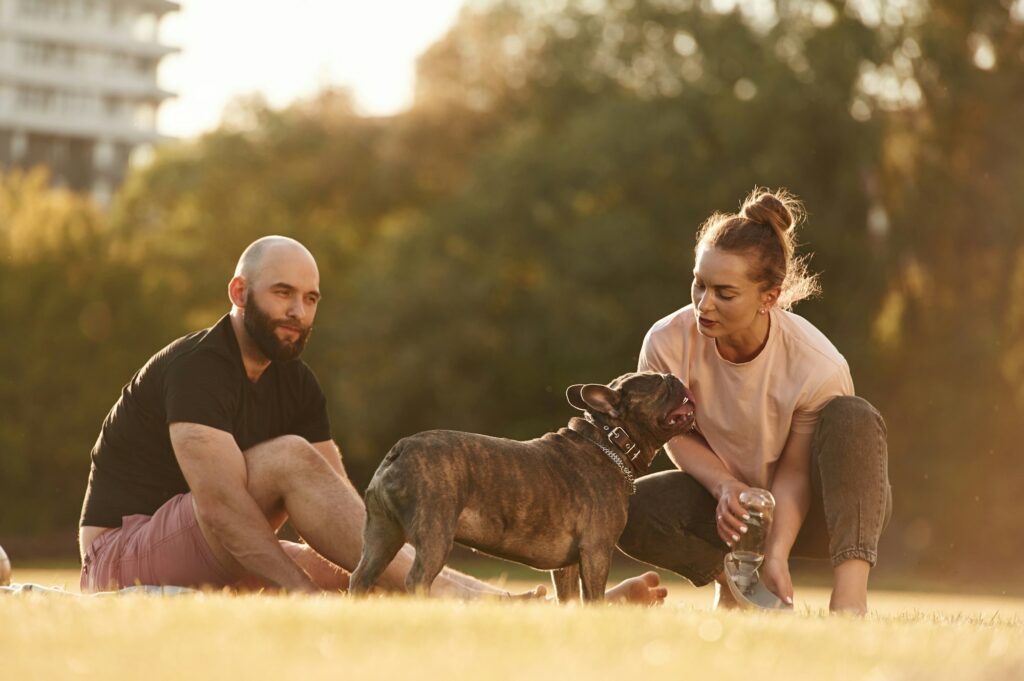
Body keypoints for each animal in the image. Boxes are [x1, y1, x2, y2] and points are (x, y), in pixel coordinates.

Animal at [350, 372, 696, 602]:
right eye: (660, 384)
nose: (675, 377)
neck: (610, 441)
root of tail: (401, 449)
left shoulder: (568, 565)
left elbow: (570, 600)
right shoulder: (596, 551)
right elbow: (593, 598)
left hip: (382, 534)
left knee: (361, 576)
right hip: (435, 533)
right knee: (417, 579)